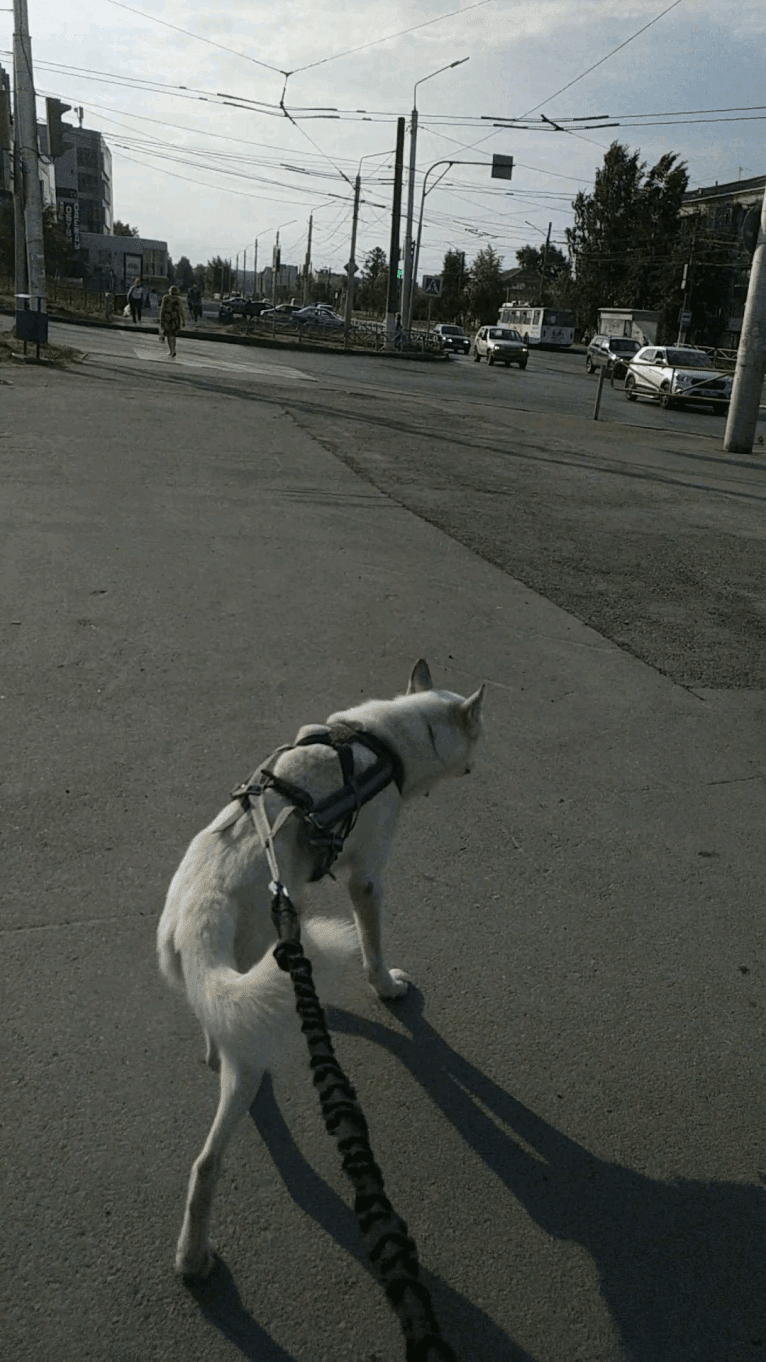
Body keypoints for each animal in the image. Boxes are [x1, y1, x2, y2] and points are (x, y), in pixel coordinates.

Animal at [155, 659, 482, 1274]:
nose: (481, 760)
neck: (385, 740)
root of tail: (200, 908)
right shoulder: (366, 879)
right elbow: (374, 947)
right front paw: (387, 987)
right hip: (248, 1025)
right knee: (207, 1162)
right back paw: (194, 1257)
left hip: (216, 979)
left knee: (216, 1028)